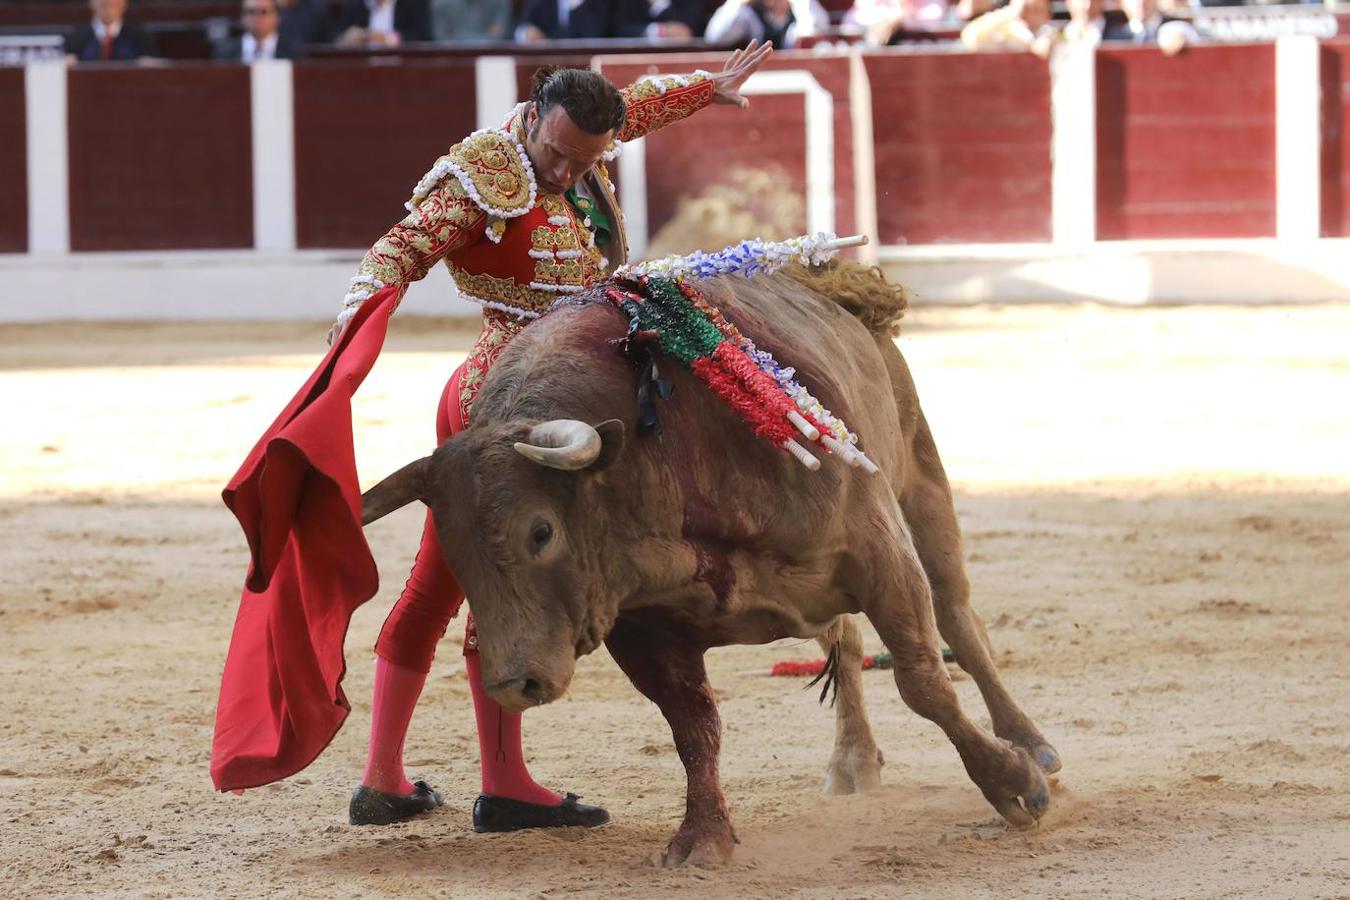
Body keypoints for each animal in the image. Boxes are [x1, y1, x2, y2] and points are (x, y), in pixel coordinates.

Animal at [364, 264, 1058, 868]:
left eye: (542, 531)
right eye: (455, 552)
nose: (515, 683)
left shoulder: (879, 549)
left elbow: (923, 680)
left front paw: (1013, 784)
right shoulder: (640, 627)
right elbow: (693, 727)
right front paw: (702, 838)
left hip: (919, 475)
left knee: (959, 617)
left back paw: (1032, 745)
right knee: (846, 639)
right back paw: (853, 761)